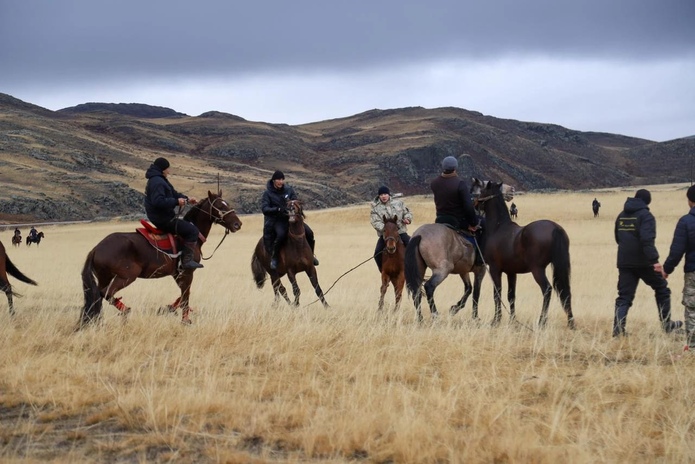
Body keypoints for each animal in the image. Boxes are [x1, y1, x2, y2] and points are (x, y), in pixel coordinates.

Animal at [78, 190, 242, 328]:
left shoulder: (177, 274)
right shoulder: (188, 272)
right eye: (220, 206)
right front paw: (185, 320)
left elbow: (183, 295)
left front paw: (169, 308)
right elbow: (186, 296)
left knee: (97, 297)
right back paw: (125, 311)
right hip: (126, 276)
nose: (237, 224)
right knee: (105, 293)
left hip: (105, 277)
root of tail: (96, 248)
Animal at [474, 181, 576, 330]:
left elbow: (497, 294)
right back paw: (570, 322)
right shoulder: (511, 272)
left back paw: (542, 321)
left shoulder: (494, 270)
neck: (499, 228)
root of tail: (555, 228)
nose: (475, 205)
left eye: (481, 192)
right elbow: (511, 296)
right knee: (565, 293)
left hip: (537, 270)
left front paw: (496, 320)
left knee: (547, 290)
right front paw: (512, 320)